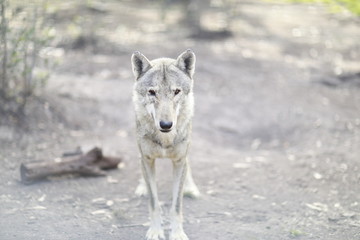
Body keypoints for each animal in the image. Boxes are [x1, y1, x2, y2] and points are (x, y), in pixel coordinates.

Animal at [131, 49, 201, 240]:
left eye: (176, 91)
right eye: (152, 92)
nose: (166, 124)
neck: (165, 139)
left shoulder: (179, 161)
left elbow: (176, 206)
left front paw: (177, 233)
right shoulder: (147, 159)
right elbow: (154, 203)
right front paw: (155, 231)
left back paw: (191, 188)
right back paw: (141, 186)